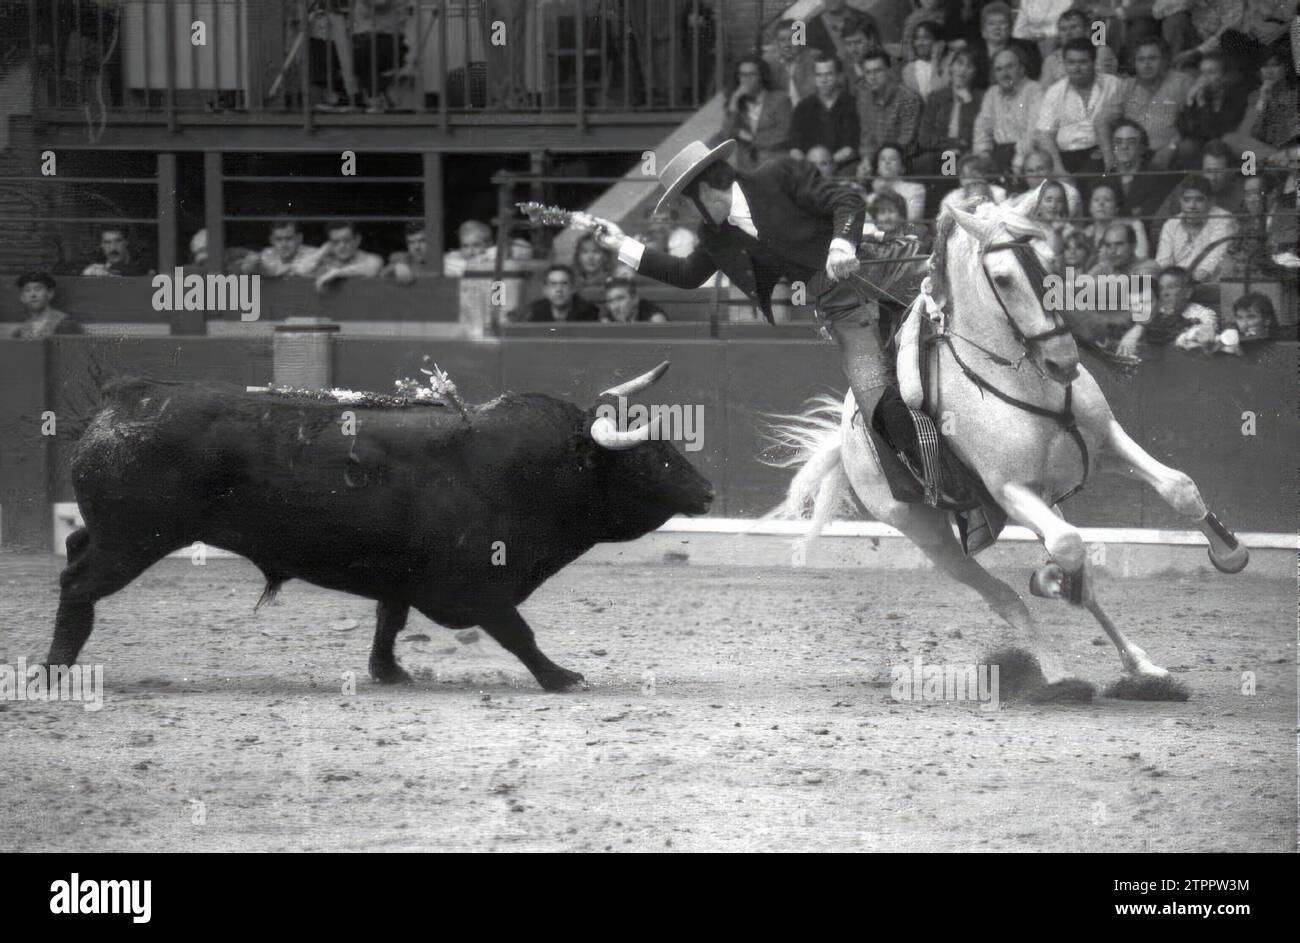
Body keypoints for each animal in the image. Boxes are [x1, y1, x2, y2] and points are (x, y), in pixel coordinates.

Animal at [48, 361, 712, 691]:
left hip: (117, 534)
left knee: (75, 551)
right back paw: (56, 668)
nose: (707, 492)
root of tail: (123, 398)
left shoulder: (403, 577)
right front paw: (562, 678)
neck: (528, 469)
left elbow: (389, 621)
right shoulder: (479, 586)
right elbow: (518, 633)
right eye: (653, 457)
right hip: (135, 538)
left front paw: (388, 673)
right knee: (78, 583)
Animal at [769, 195, 1248, 702]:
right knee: (1006, 595)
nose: (1063, 360)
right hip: (926, 531)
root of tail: (846, 439)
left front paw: (1231, 554)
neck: (1024, 380)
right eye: (1002, 279)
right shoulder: (1010, 489)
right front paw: (1052, 582)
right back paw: (1057, 673)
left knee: (1079, 573)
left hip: (1035, 502)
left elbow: (1179, 488)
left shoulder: (1107, 442)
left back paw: (1140, 666)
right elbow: (1068, 545)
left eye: (1046, 263)